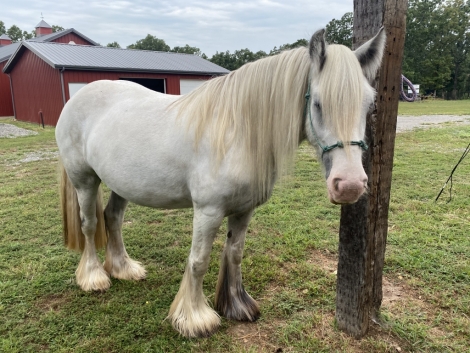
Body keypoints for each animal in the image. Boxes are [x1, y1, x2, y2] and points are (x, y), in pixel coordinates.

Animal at [55, 28, 386, 336]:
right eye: (317, 103)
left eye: (369, 103)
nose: (350, 185)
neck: (238, 133)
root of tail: (77, 98)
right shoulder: (208, 211)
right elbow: (199, 260)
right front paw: (195, 319)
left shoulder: (244, 210)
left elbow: (235, 253)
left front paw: (236, 306)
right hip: (85, 180)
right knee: (89, 224)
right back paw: (94, 277)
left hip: (122, 183)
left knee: (112, 218)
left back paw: (124, 269)